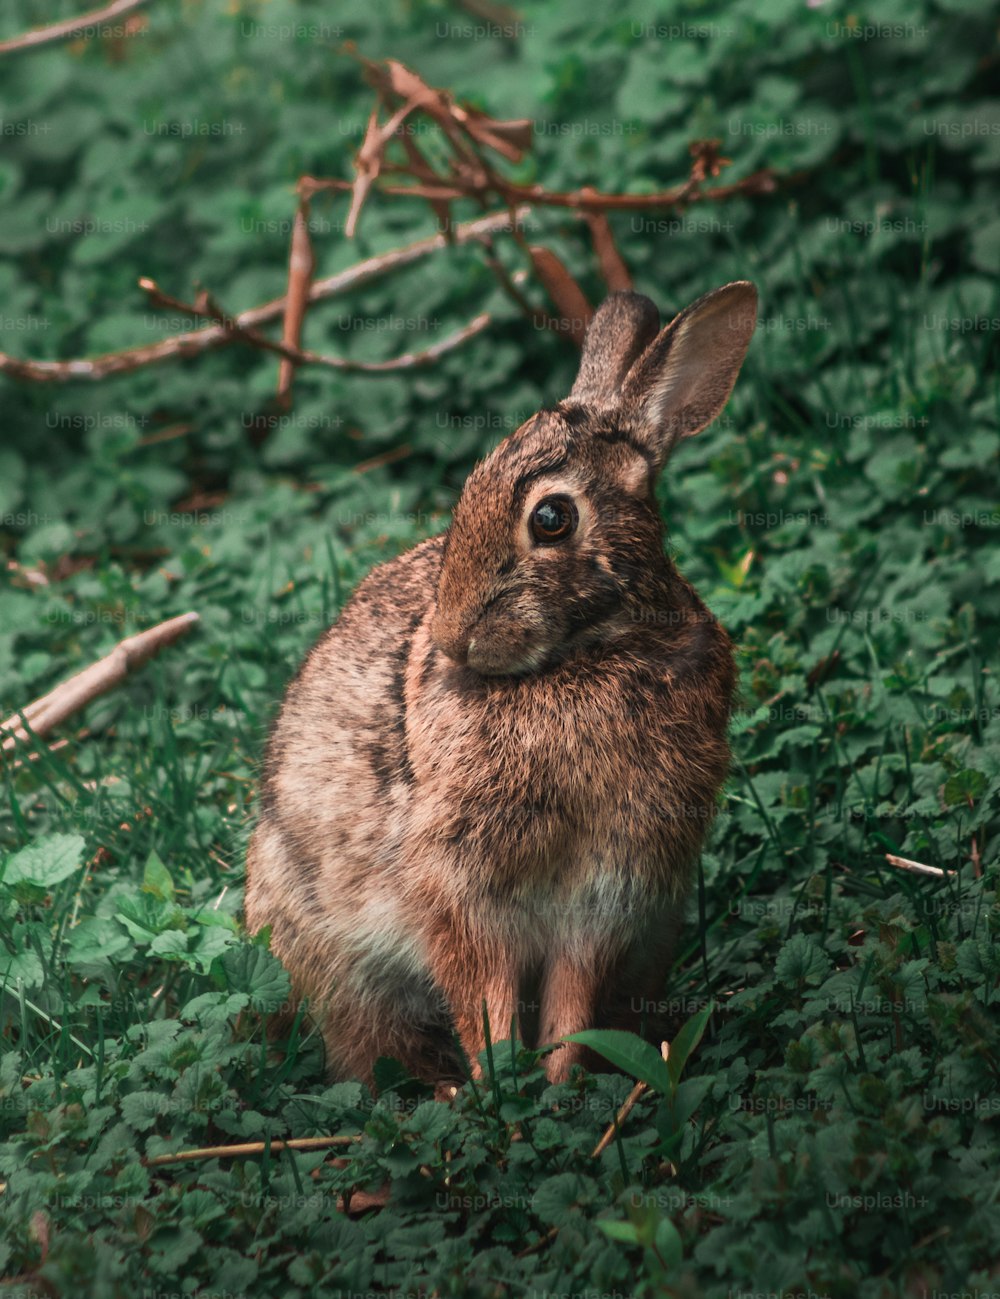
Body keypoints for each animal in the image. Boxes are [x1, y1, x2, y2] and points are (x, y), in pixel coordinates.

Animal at [246, 281, 758, 1085]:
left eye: (551, 517)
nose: (452, 636)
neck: (582, 658)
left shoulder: (610, 889)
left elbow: (572, 998)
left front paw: (559, 1085)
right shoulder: (460, 887)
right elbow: (480, 991)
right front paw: (499, 1084)